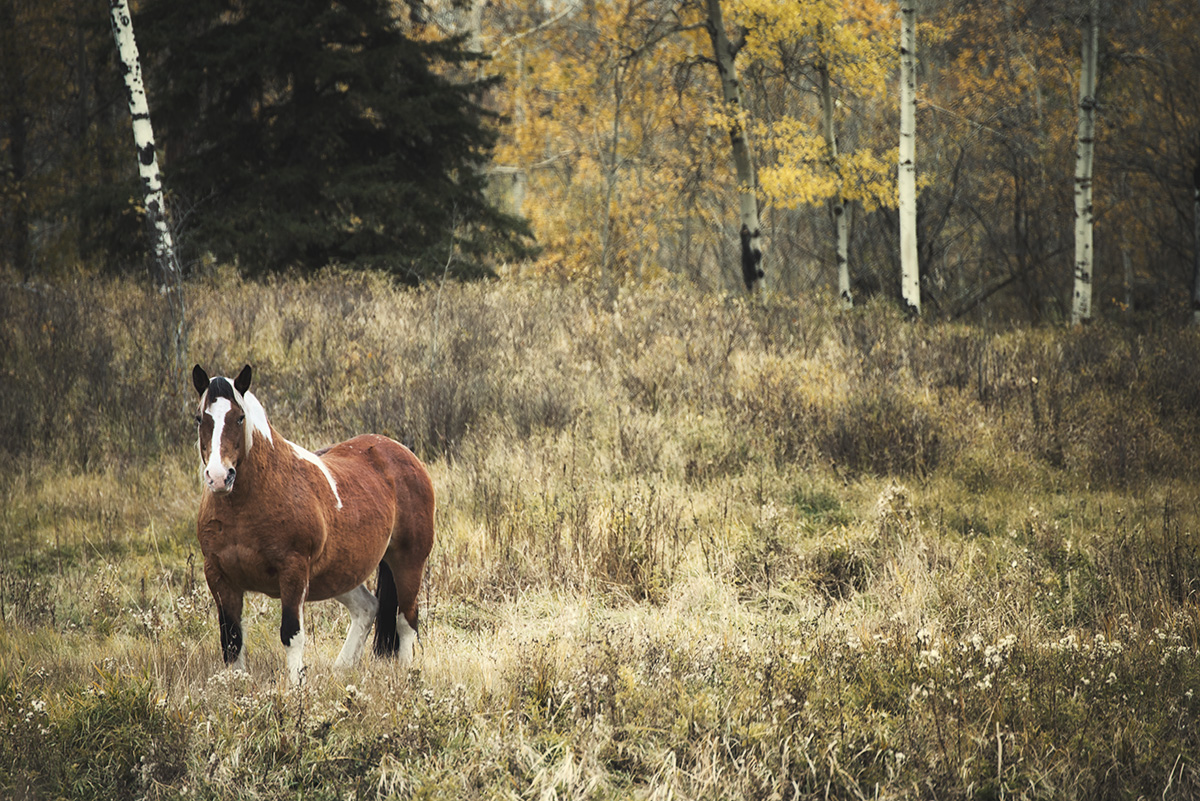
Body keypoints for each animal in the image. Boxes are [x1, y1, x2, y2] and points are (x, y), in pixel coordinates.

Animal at [194, 366, 439, 685]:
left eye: (239, 417)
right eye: (200, 418)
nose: (219, 476)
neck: (245, 505)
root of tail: (403, 453)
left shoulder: (293, 572)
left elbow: (291, 634)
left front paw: (296, 687)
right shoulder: (219, 576)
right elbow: (231, 640)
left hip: (408, 562)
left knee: (407, 620)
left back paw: (407, 674)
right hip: (339, 571)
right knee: (367, 608)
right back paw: (342, 668)